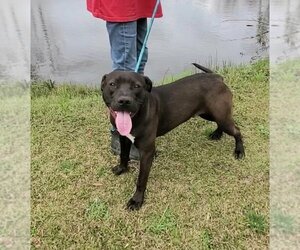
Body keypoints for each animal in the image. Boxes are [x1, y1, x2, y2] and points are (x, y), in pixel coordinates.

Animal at [101, 63, 244, 210]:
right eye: (112, 84)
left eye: (136, 86)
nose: (124, 100)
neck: (135, 117)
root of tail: (216, 77)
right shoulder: (124, 138)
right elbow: (123, 155)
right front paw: (122, 169)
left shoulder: (147, 152)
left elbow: (141, 179)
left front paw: (137, 200)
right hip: (210, 114)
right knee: (222, 124)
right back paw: (217, 134)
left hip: (220, 115)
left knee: (237, 130)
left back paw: (239, 151)